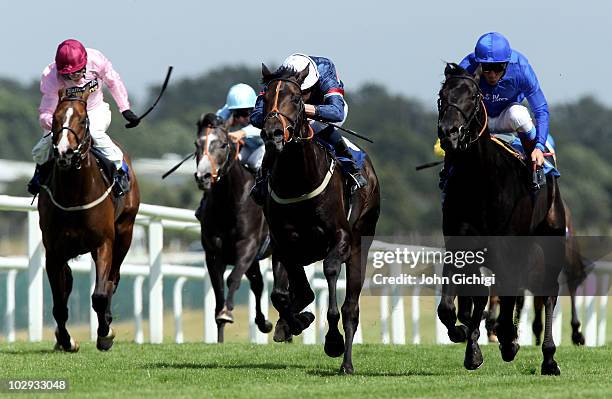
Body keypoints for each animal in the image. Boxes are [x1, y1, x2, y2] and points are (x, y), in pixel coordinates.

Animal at [38, 88, 140, 354]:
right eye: (55, 118)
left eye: (83, 120)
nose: (64, 152)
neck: (74, 194)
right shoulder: (54, 251)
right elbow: (59, 303)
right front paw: (66, 340)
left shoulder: (103, 243)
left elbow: (100, 296)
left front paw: (105, 334)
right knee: (68, 283)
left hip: (125, 233)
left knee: (113, 279)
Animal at [195, 113, 274, 344]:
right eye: (197, 144)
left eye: (222, 144)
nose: (203, 176)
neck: (229, 203)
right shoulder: (213, 253)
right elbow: (218, 289)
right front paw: (220, 331)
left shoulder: (247, 245)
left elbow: (233, 278)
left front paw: (227, 313)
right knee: (258, 285)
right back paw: (264, 323)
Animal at [256, 65, 380, 376]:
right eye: (265, 97)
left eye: (297, 99)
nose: (273, 133)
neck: (299, 179)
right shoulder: (283, 243)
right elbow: (282, 295)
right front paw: (295, 322)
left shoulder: (340, 239)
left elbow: (331, 277)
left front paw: (332, 340)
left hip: (360, 246)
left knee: (351, 309)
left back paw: (346, 362)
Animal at [438, 64, 568, 376]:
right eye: (442, 95)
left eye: (473, 96)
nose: (448, 133)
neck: (481, 179)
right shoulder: (459, 245)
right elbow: (453, 305)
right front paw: (467, 341)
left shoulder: (506, 247)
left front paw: (502, 341)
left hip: (551, 238)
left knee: (548, 292)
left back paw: (547, 357)